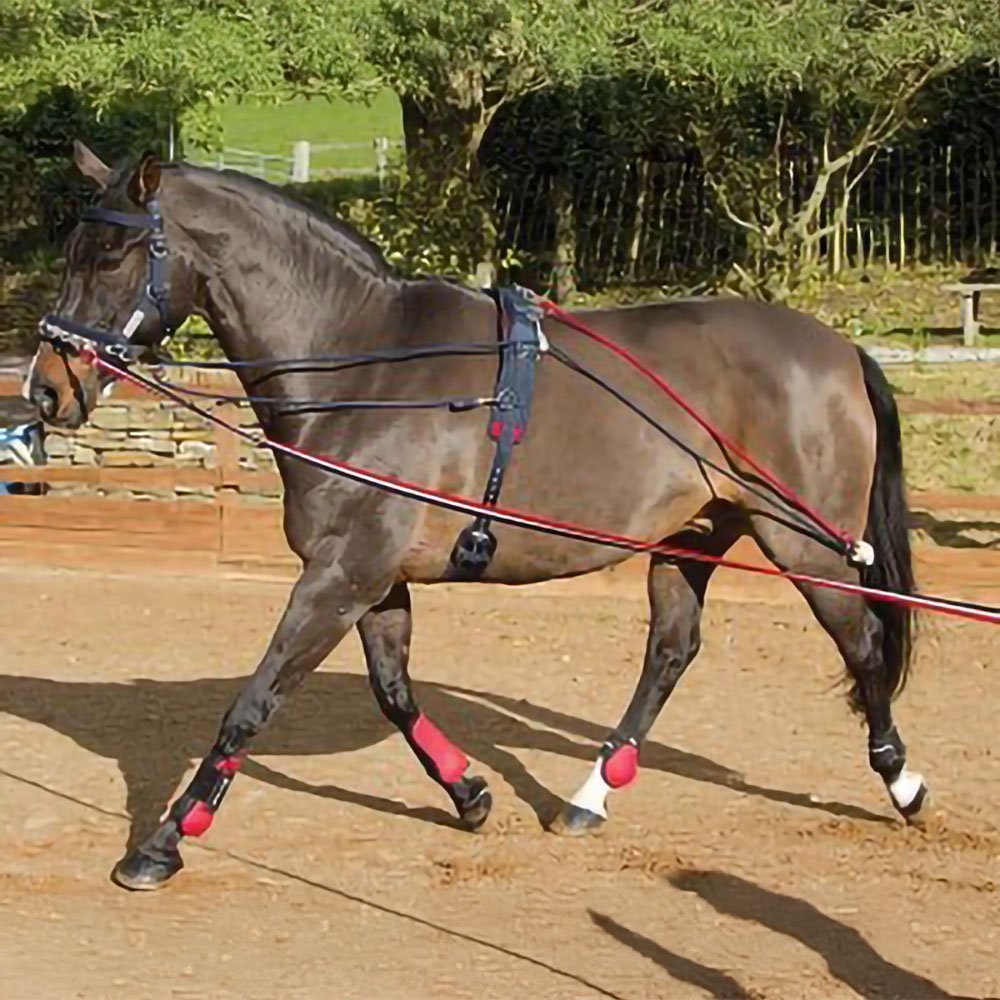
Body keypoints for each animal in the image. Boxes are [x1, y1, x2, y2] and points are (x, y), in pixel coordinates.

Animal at [26, 141, 924, 892]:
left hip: (807, 545)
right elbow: (394, 694)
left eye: (111, 255)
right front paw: (469, 794)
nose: (46, 388)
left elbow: (252, 703)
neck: (365, 365)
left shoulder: (341, 575)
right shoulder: (371, 580)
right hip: (693, 537)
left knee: (863, 645)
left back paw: (902, 779)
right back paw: (589, 796)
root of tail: (838, 349)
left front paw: (163, 843)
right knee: (672, 652)